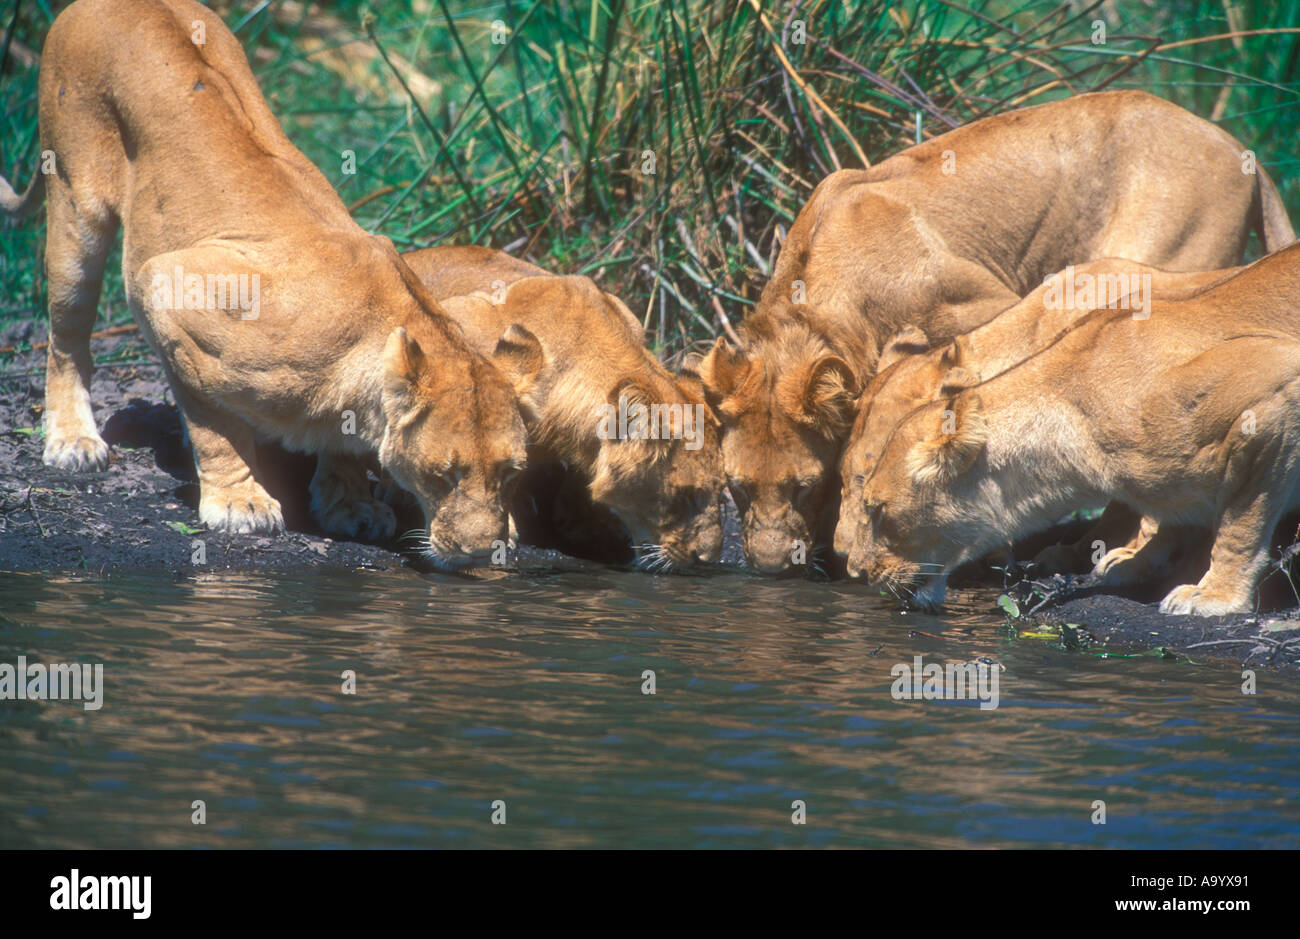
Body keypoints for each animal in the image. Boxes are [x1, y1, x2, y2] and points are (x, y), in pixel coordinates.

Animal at [0, 0, 527, 564]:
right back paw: (74, 442)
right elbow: (215, 424)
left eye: (509, 474)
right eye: (445, 475)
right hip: (77, 204)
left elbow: (339, 447)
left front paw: (350, 504)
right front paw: (240, 503)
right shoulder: (166, 287)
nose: (483, 552)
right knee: (67, 338)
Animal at [843, 243, 1300, 616]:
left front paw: (1214, 595)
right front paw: (1135, 559)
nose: (852, 568)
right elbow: (1171, 513)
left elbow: (1237, 523)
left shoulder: (1274, 388)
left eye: (875, 508)